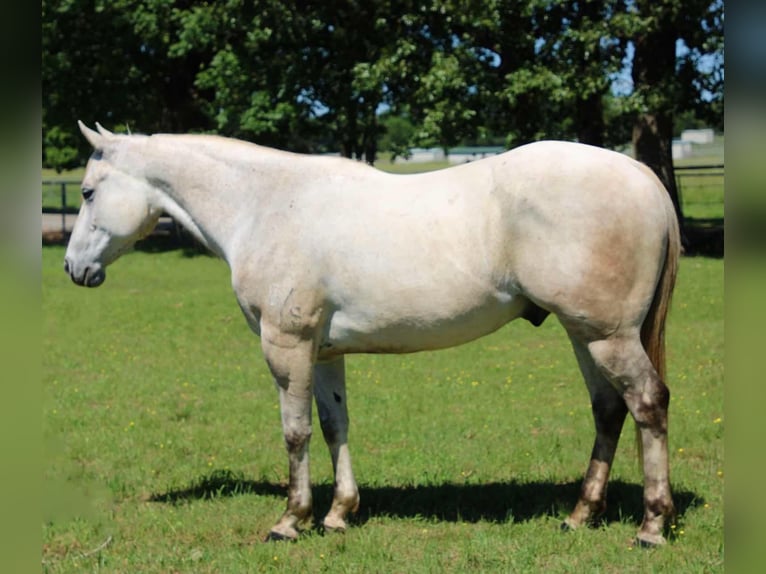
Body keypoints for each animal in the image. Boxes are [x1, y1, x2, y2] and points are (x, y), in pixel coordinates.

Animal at [65, 122, 680, 546]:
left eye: (89, 192)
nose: (74, 269)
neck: (264, 205)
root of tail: (641, 177)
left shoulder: (286, 345)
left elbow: (295, 433)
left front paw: (291, 520)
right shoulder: (323, 351)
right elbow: (334, 425)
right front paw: (339, 513)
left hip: (608, 337)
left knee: (648, 404)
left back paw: (651, 526)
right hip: (585, 334)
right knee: (608, 411)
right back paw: (580, 515)